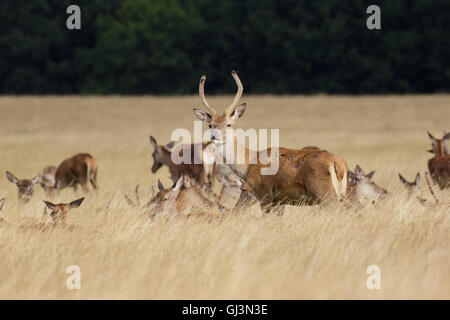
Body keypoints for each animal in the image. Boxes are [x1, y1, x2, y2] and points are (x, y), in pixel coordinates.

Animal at [190, 70, 348, 205]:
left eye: (228, 124)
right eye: (210, 125)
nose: (214, 137)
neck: (248, 165)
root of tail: (339, 165)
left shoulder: (264, 195)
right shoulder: (279, 202)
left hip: (324, 193)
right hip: (340, 194)